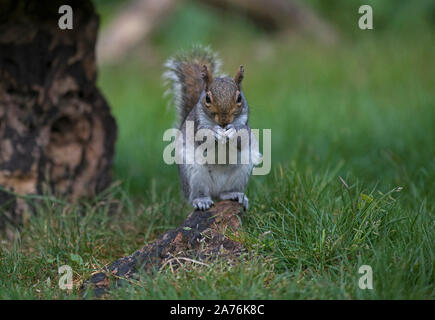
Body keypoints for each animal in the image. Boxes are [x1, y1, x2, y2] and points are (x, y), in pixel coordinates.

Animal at [163, 45, 258, 210]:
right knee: (196, 194)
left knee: (224, 193)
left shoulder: (245, 125)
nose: (224, 121)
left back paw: (235, 194)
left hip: (241, 172)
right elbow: (202, 137)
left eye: (239, 98)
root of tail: (215, 190)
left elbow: (243, 138)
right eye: (207, 98)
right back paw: (202, 200)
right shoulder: (196, 125)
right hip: (194, 174)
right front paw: (215, 132)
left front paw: (233, 130)